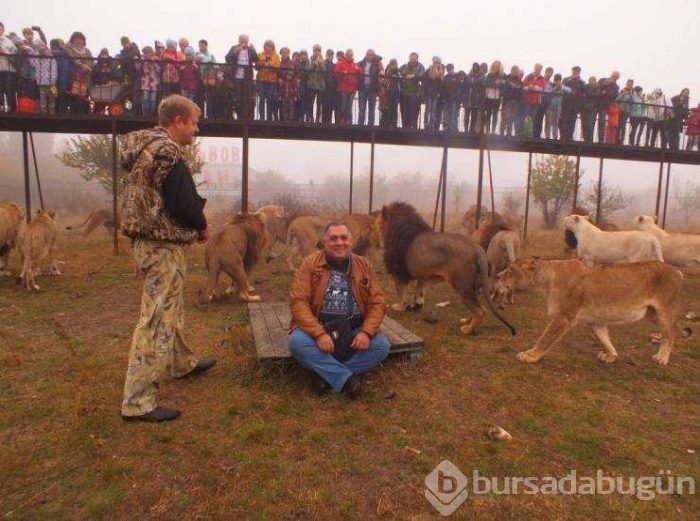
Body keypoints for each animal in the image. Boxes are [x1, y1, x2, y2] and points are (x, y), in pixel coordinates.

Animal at [378, 201, 516, 336]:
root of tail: (477, 248)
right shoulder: (427, 275)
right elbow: (420, 290)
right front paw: (417, 305)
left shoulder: (398, 273)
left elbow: (402, 293)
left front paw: (399, 307)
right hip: (474, 285)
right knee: (477, 307)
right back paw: (466, 321)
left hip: (462, 285)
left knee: (481, 311)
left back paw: (467, 329)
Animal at [494, 256, 688, 366]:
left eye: (510, 269)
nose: (497, 276)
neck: (546, 280)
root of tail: (677, 271)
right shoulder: (595, 321)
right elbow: (603, 339)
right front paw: (611, 355)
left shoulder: (564, 317)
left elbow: (545, 339)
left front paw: (530, 355)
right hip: (651, 314)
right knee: (673, 328)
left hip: (664, 311)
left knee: (670, 333)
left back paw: (662, 357)